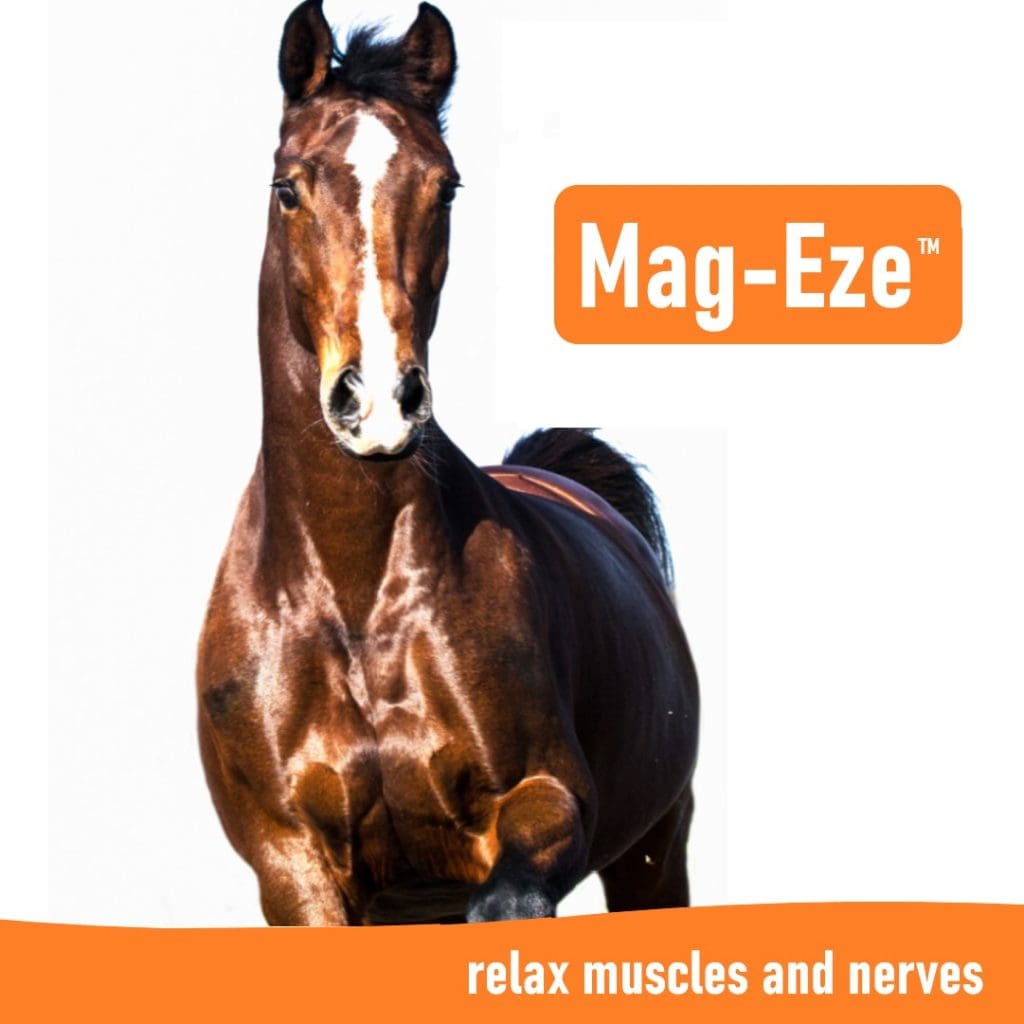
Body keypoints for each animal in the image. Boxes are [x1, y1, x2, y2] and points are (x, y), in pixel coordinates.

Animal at [196, 0, 699, 925]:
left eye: (446, 185)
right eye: (288, 187)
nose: (379, 404)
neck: (358, 602)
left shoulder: (546, 802)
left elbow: (507, 902)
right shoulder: (292, 867)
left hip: (653, 851)